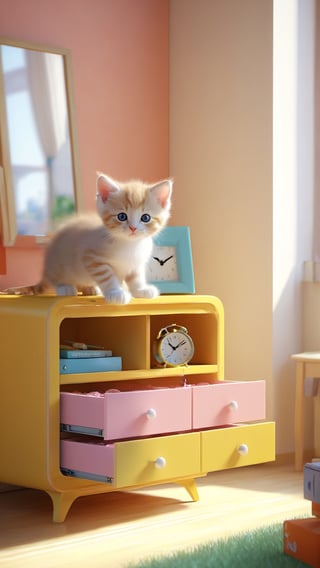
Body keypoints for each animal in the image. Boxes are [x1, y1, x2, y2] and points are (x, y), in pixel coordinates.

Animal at [4, 173, 172, 304]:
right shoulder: (92, 258)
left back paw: (90, 288)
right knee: (56, 279)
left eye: (145, 218)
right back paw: (65, 287)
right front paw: (116, 292)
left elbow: (136, 277)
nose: (133, 228)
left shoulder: (136, 263)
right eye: (122, 216)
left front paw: (141, 290)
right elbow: (107, 276)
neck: (130, 245)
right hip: (59, 263)